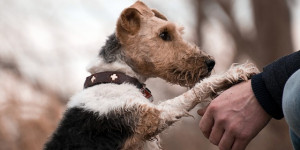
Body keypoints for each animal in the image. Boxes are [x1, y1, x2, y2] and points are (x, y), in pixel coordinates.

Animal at [44, 1, 258, 150]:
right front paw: (236, 72)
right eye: (164, 34)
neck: (116, 77)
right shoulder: (153, 117)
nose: (210, 62)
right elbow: (193, 92)